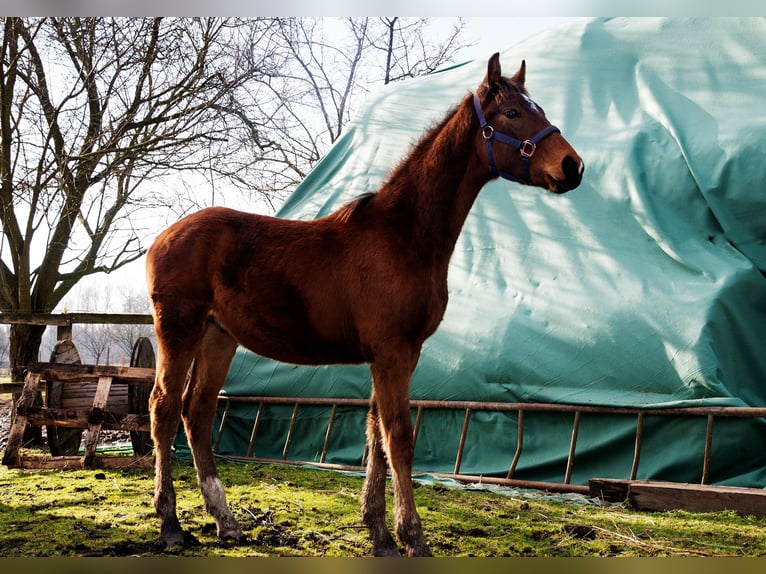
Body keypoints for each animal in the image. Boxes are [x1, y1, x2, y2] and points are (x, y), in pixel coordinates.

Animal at [147, 54, 584, 560]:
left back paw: (226, 522)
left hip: (218, 338)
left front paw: (379, 533)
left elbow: (376, 437)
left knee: (196, 414)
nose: (573, 166)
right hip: (178, 331)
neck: (403, 235)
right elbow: (399, 438)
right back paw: (171, 526)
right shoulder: (392, 352)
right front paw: (413, 536)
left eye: (537, 108)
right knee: (163, 410)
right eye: (512, 113)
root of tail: (162, 238)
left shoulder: (397, 354)